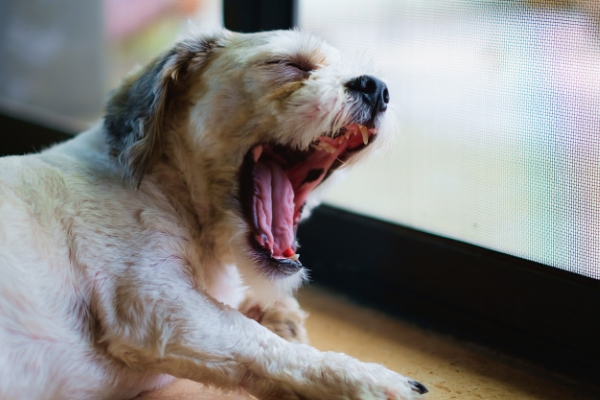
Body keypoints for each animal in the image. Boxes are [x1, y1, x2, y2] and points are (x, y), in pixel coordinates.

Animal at [0, 29, 426, 398]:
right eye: (292, 64)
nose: (377, 87)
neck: (169, 187)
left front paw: (278, 315)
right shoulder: (155, 301)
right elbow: (256, 340)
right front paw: (361, 379)